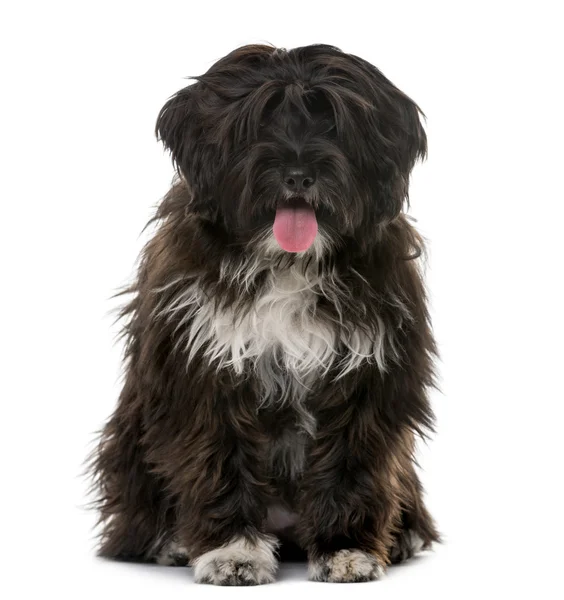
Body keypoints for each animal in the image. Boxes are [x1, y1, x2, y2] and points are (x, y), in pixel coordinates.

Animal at [89, 43, 440, 584]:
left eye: (333, 122)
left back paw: (402, 536)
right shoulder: (204, 371)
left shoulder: (366, 375)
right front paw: (232, 550)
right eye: (257, 123)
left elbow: (349, 463)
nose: (297, 175)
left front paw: (344, 548)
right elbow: (219, 459)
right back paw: (169, 541)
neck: (287, 263)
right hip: (129, 436)